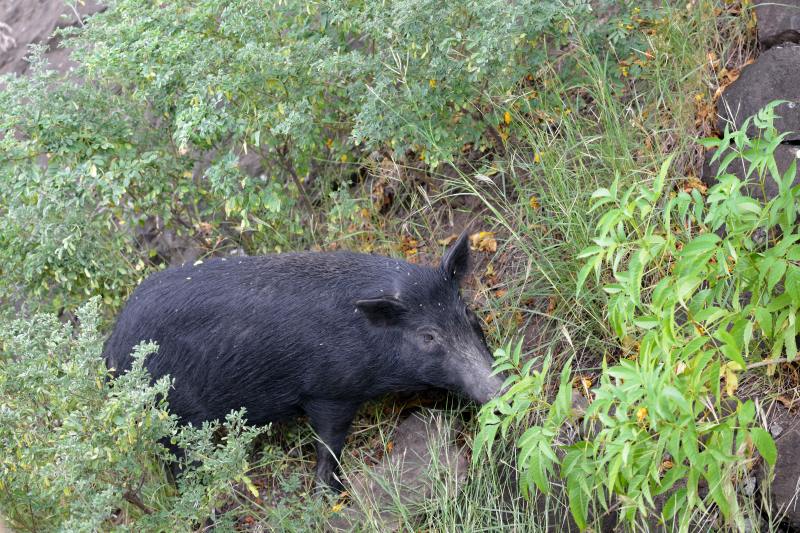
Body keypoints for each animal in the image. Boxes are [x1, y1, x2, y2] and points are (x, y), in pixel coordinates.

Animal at [103, 231, 503, 490]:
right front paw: (334, 491)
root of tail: (109, 354)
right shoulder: (328, 391)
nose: (499, 390)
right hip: (171, 420)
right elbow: (329, 443)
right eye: (428, 337)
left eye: (468, 314)